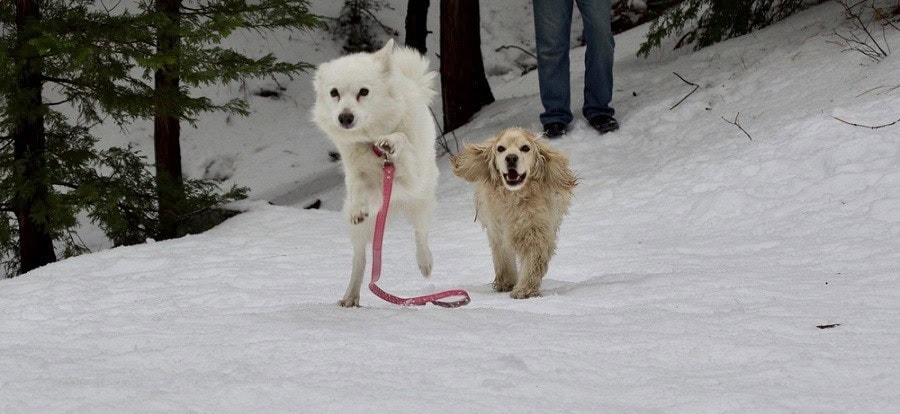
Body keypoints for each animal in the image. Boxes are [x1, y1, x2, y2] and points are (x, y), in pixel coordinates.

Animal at [312, 38, 438, 308]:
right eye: (334, 93)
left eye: (364, 91)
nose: (345, 117)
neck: (370, 141)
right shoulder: (356, 172)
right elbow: (359, 185)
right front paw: (359, 208)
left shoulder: (410, 177)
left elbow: (400, 141)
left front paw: (391, 142)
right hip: (361, 231)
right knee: (360, 258)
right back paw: (350, 296)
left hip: (422, 203)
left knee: (421, 234)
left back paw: (425, 263)